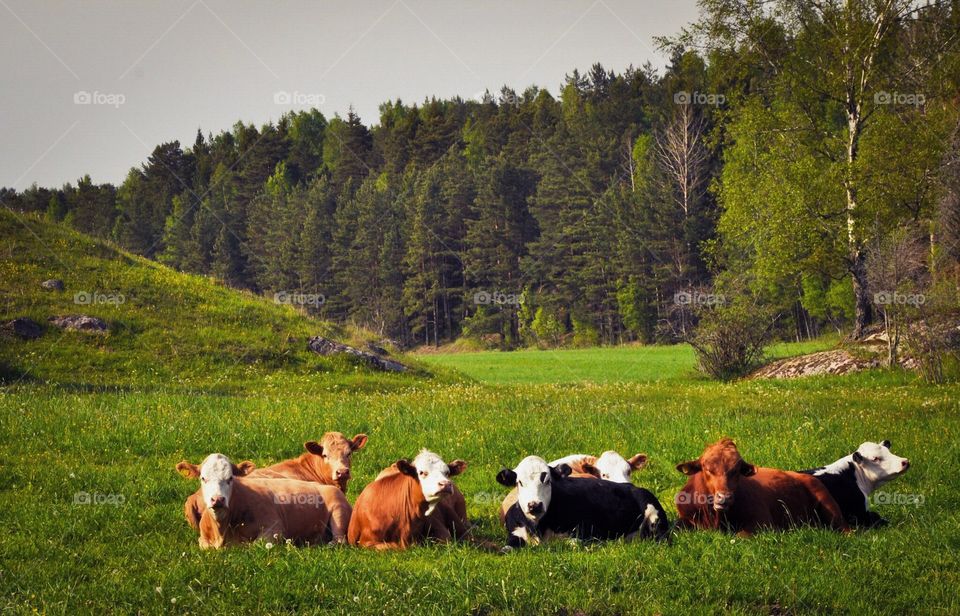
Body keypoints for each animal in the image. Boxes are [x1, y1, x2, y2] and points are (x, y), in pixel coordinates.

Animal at [177, 453, 352, 549]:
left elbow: (254, 545)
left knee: (339, 540)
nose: (218, 499)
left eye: (230, 478)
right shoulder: (203, 540)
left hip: (339, 512)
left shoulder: (275, 528)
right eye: (203, 478)